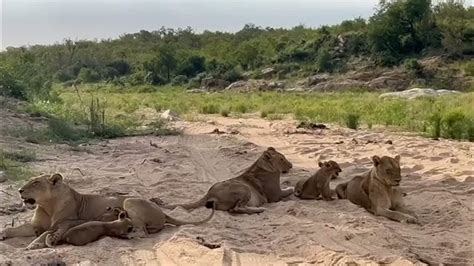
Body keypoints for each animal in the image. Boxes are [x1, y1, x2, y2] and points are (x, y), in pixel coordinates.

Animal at [151, 148, 292, 214]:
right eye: (281, 159)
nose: (291, 166)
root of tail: (209, 194)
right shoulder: (275, 195)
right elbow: (289, 190)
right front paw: (291, 188)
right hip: (244, 188)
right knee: (236, 209)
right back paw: (260, 210)